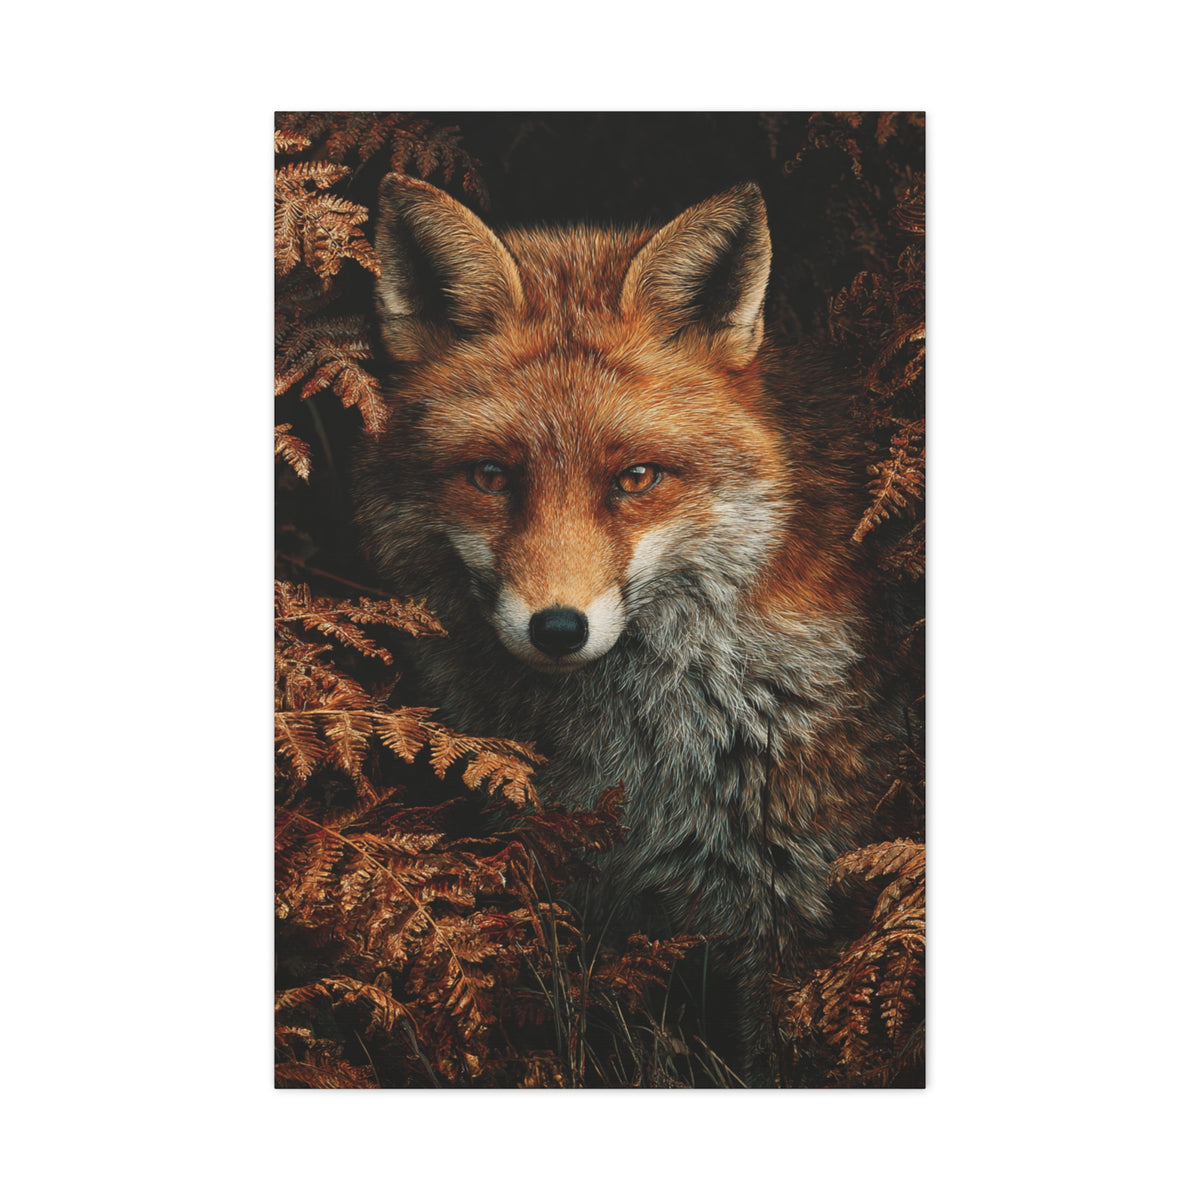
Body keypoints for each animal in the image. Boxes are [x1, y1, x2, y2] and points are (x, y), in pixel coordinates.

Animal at [354, 173, 903, 1083]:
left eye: (636, 479)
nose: (557, 629)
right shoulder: (573, 892)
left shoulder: (789, 890)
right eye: (491, 477)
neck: (641, 755)